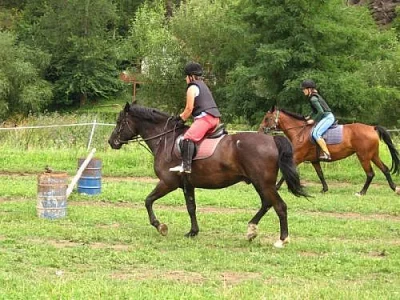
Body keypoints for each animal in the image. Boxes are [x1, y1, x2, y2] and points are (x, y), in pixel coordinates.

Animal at [108, 103, 308, 248]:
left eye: (119, 122)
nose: (111, 142)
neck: (166, 139)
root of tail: (272, 139)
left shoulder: (167, 182)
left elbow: (148, 201)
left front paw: (161, 227)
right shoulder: (187, 185)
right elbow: (191, 207)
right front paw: (193, 232)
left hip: (263, 183)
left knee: (280, 206)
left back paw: (281, 240)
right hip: (259, 183)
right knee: (267, 203)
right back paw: (251, 230)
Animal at [258, 106, 398, 196]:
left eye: (267, 118)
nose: (260, 131)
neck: (300, 132)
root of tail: (372, 128)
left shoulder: (297, 157)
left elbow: (286, 172)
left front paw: (276, 187)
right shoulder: (314, 160)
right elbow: (320, 174)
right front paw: (324, 189)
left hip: (363, 156)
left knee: (370, 173)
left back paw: (361, 192)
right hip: (373, 155)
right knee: (385, 169)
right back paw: (395, 188)